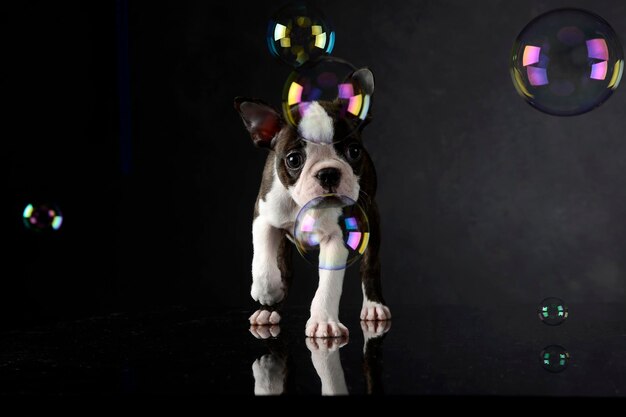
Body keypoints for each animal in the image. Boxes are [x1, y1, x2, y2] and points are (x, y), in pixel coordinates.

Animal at [234, 66, 390, 338]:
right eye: (294, 159)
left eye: (354, 152)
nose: (328, 173)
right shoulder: (263, 216)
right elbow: (263, 264)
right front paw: (268, 293)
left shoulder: (338, 236)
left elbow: (327, 287)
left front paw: (323, 321)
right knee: (284, 270)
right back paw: (270, 309)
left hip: (371, 218)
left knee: (370, 265)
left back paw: (373, 306)